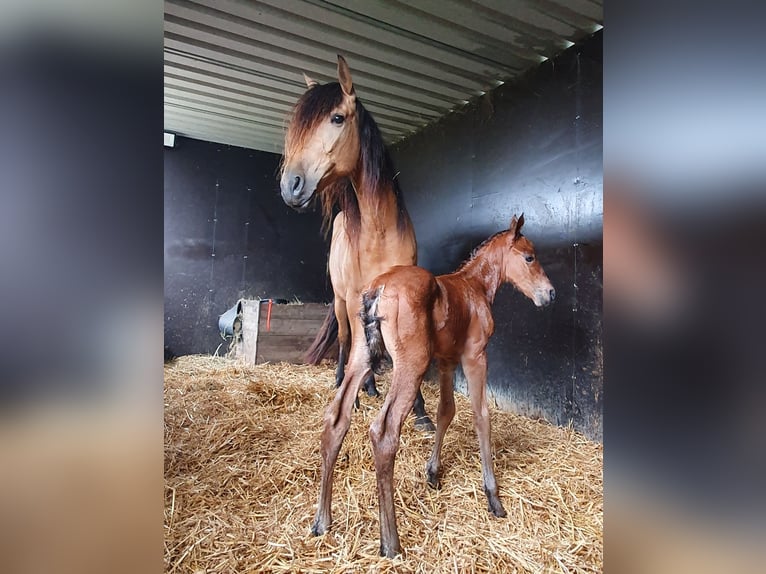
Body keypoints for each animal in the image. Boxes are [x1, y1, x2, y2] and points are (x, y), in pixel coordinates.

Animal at [280, 56, 432, 430]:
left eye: (337, 118)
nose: (291, 185)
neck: (378, 232)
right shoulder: (352, 297)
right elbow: (355, 345)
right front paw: (352, 395)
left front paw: (420, 411)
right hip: (340, 300)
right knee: (347, 339)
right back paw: (344, 383)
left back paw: (371, 387)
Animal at [312, 215, 560, 560]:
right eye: (529, 257)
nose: (550, 294)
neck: (474, 287)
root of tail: (378, 289)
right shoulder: (474, 356)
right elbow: (481, 416)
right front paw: (493, 497)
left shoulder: (446, 361)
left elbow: (446, 411)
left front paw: (432, 472)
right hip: (411, 365)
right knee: (384, 431)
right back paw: (391, 542)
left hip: (361, 356)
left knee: (336, 418)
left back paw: (322, 521)